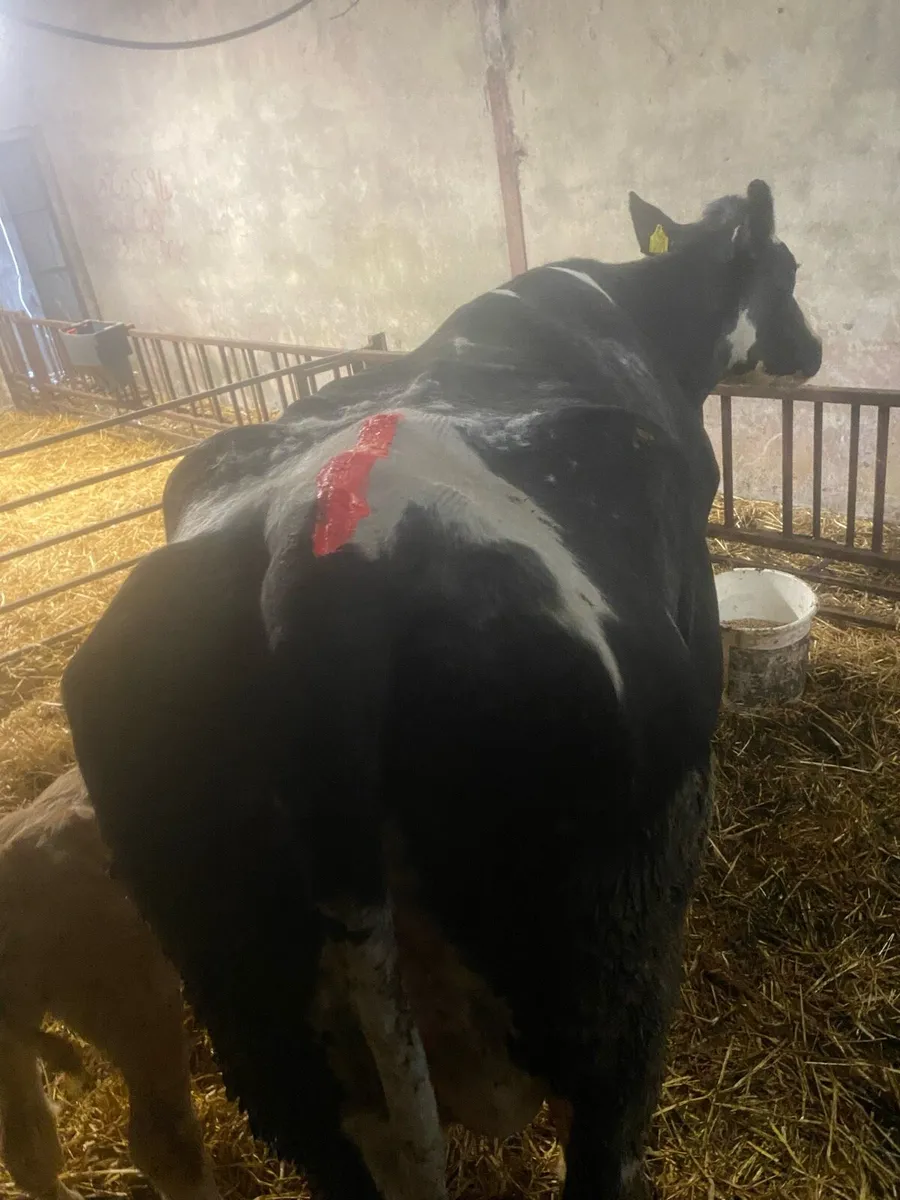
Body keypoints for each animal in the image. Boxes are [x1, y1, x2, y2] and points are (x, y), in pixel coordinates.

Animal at [62, 180, 821, 1200]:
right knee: (607, 1135)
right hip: (612, 984)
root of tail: (318, 561)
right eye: (787, 269)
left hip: (266, 1042)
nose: (812, 350)